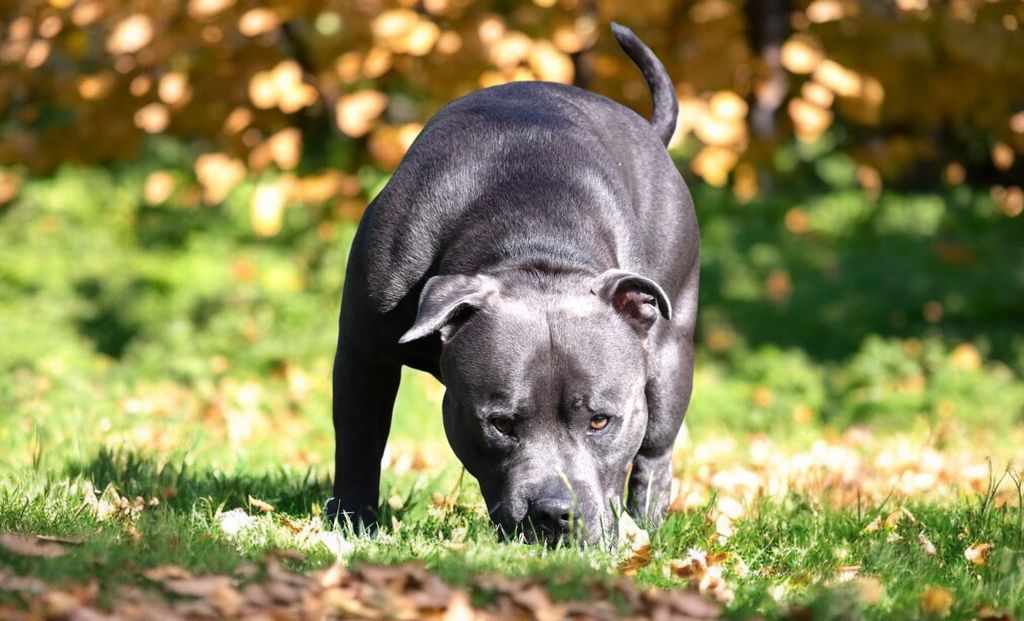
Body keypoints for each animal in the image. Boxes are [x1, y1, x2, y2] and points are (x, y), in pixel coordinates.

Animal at [325, 24, 696, 549]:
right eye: (500, 424)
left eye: (600, 420)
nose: (555, 513)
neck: (533, 243)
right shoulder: (363, 353)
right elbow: (358, 441)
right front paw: (352, 523)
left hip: (670, 355)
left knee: (655, 453)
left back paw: (644, 525)